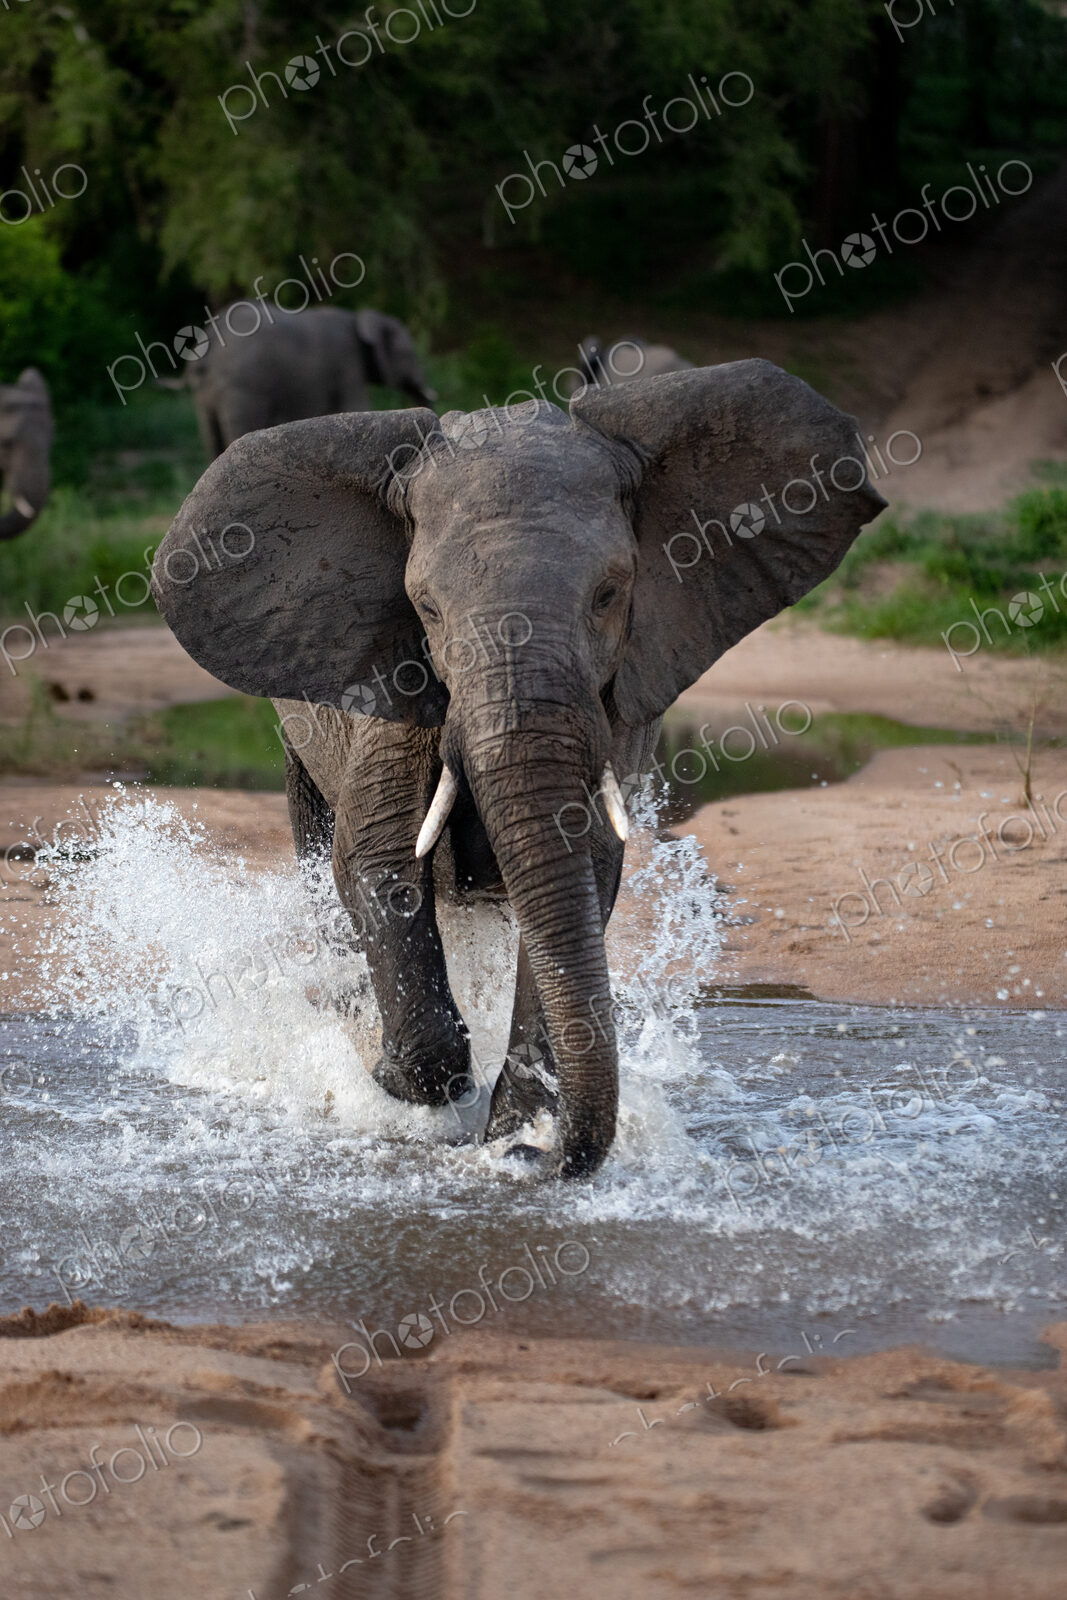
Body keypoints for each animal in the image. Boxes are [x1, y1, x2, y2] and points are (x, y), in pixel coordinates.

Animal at [152, 360, 885, 1180]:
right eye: (427, 609)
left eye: (608, 595)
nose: (544, 1162)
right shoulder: (391, 679)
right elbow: (375, 859)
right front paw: (392, 1084)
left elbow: (583, 870)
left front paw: (516, 1134)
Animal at [183, 306, 437, 460]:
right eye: (408, 355)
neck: (358, 318)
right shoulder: (347, 362)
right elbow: (357, 405)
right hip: (242, 386)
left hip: (207, 394)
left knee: (211, 435)